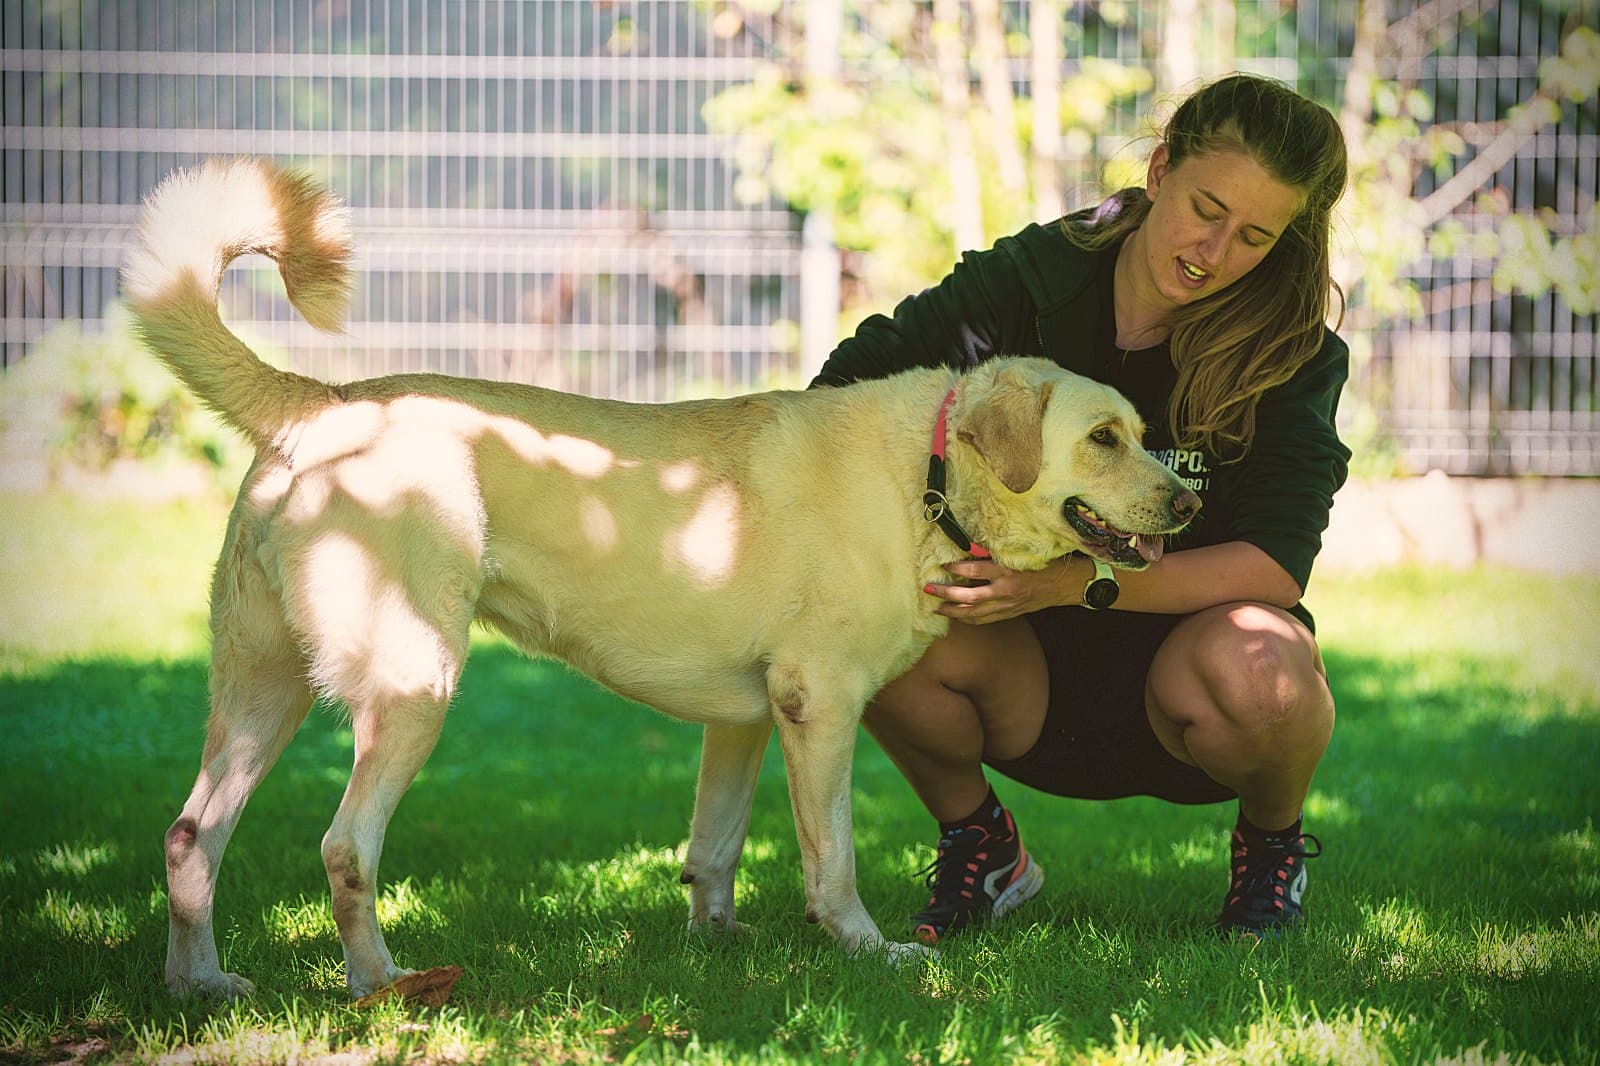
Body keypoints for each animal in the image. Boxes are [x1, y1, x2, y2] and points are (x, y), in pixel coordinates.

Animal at [123, 158, 1200, 1000]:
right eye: (1104, 439)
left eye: (1142, 434)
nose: (1188, 504)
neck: (927, 473)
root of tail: (324, 401)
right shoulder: (819, 708)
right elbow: (834, 855)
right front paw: (866, 949)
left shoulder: (750, 716)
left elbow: (714, 847)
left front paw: (717, 946)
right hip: (411, 681)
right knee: (346, 848)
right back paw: (382, 984)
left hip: (264, 688)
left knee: (189, 835)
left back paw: (197, 986)